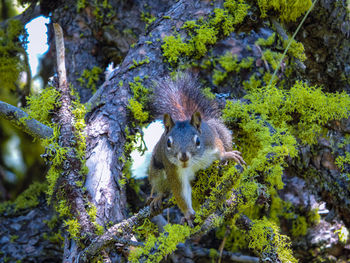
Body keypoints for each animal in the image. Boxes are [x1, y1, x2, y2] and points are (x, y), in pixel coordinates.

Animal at [149, 72, 245, 227]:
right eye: (168, 143)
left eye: (198, 141)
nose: (183, 157)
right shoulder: (173, 170)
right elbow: (180, 191)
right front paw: (188, 215)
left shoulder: (211, 139)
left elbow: (219, 148)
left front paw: (226, 156)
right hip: (156, 167)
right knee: (160, 185)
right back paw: (158, 197)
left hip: (222, 132)